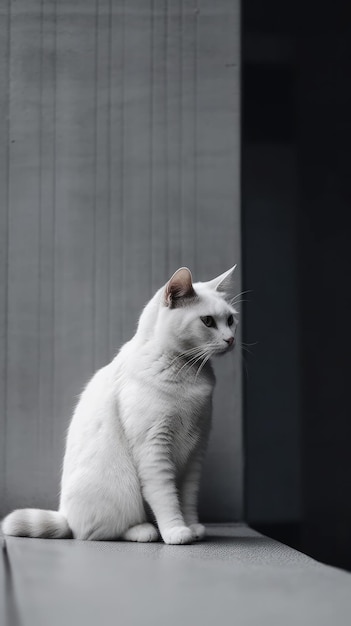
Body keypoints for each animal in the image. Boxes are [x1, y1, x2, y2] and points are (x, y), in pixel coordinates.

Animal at [1, 266, 238, 544]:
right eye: (208, 321)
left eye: (230, 320)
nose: (231, 339)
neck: (188, 372)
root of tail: (65, 517)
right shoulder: (153, 448)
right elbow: (166, 498)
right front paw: (177, 532)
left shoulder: (195, 453)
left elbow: (187, 498)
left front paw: (192, 527)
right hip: (123, 485)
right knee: (96, 532)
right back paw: (145, 530)